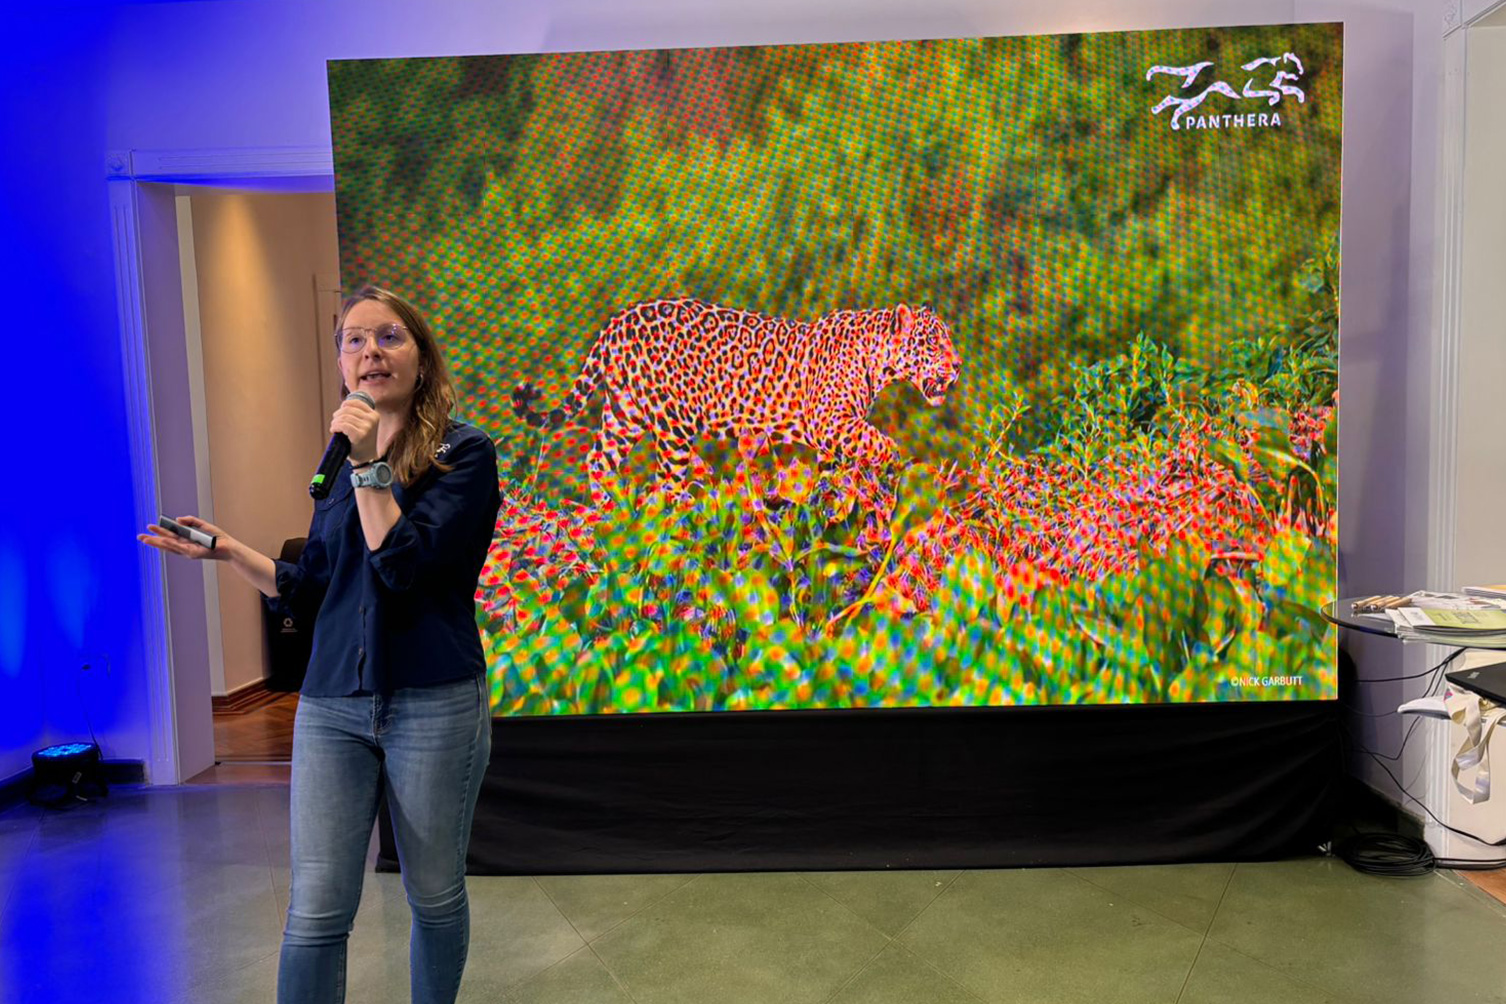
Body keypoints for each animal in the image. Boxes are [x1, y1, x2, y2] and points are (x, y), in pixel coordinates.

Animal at [511, 298, 961, 504]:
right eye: (931, 342)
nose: (957, 365)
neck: (876, 358)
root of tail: (620, 320)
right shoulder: (832, 422)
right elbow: (881, 442)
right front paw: (895, 463)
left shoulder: (836, 434)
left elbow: (837, 471)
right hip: (673, 423)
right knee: (665, 483)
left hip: (626, 411)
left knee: (598, 458)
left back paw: (607, 513)